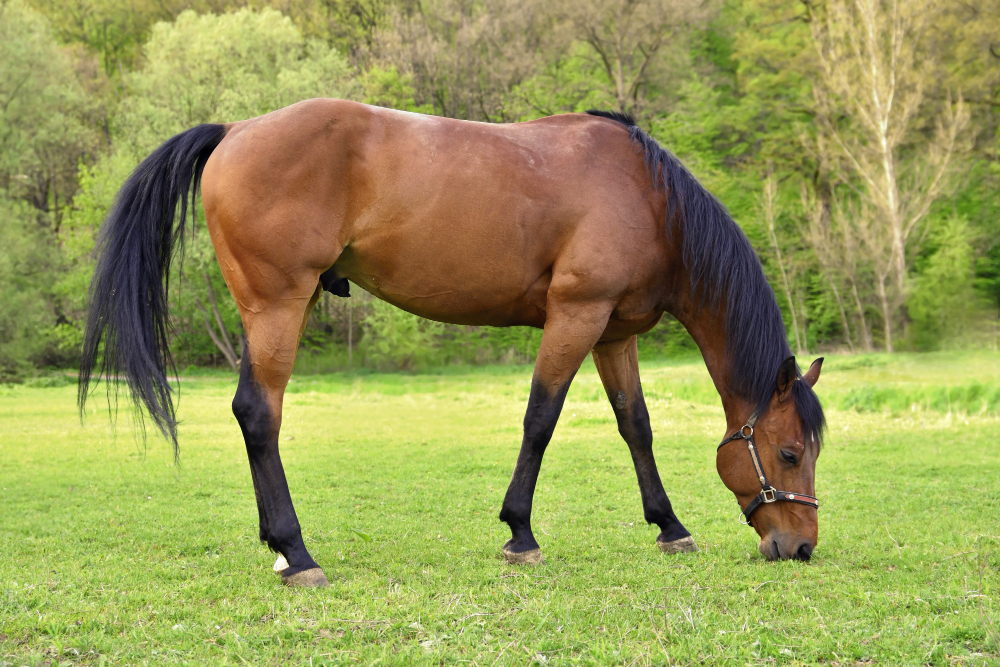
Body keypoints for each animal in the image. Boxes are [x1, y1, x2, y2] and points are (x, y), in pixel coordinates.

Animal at [79, 99, 825, 588]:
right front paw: (520, 533)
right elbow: (540, 419)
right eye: (789, 452)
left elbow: (634, 425)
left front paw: (669, 526)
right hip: (279, 306)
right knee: (260, 414)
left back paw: (283, 549)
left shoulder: (613, 332)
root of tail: (236, 130)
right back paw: (298, 552)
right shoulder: (575, 315)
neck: (645, 195)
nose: (800, 545)